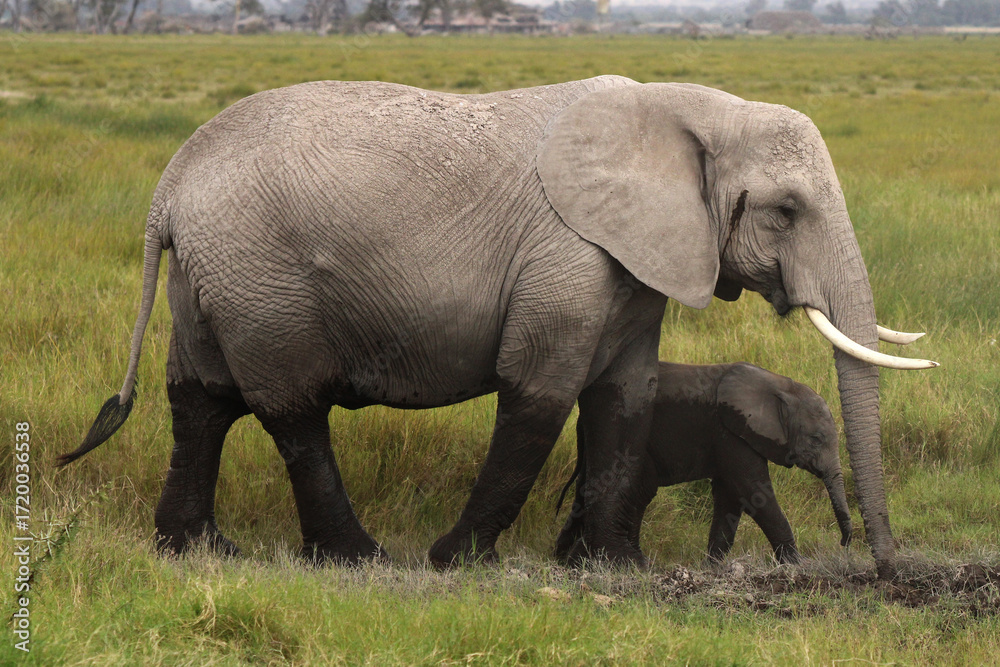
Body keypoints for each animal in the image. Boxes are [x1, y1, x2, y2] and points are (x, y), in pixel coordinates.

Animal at [555, 361, 853, 565]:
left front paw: (714, 567)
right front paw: (796, 565)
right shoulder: (729, 432)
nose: (844, 543)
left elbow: (729, 497)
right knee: (639, 491)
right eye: (816, 439)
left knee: (588, 490)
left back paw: (564, 559)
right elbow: (754, 493)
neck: (780, 385)